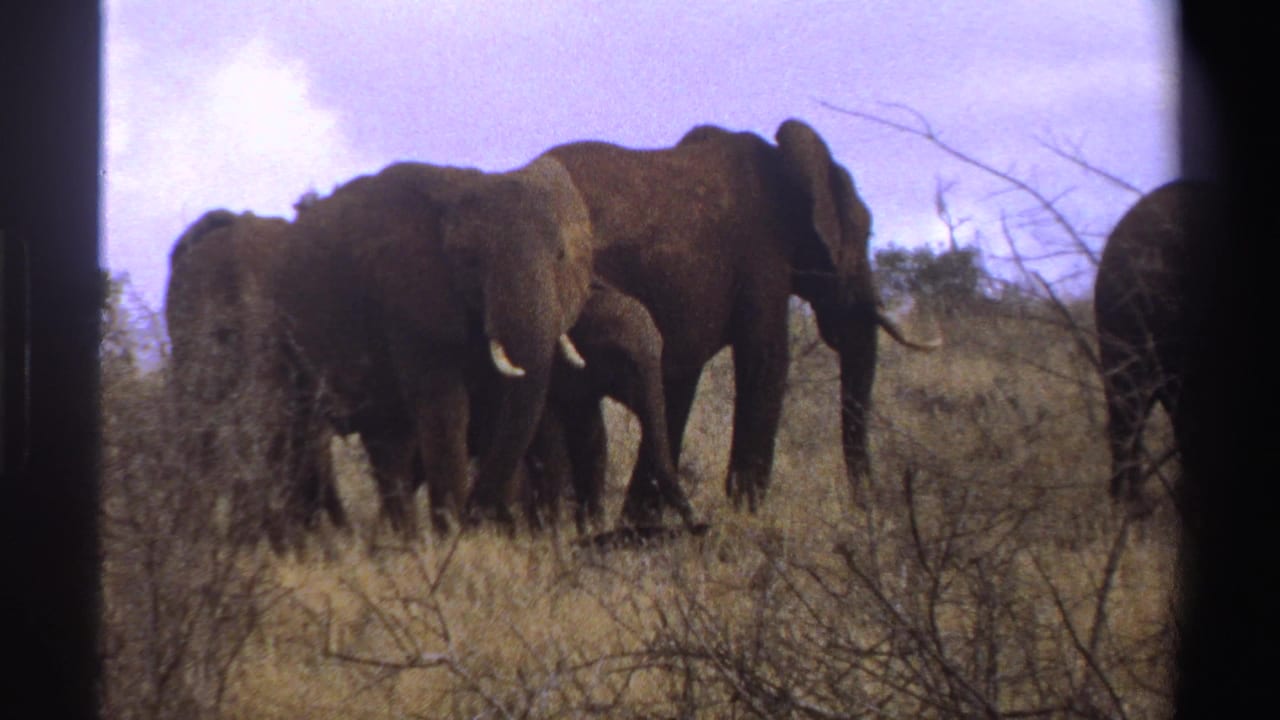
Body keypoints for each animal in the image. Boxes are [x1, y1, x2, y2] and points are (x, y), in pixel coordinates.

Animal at [278, 157, 595, 535]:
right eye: (469, 260)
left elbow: (497, 406)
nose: (476, 516)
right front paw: (453, 536)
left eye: (560, 256)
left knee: (386, 443)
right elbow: (444, 407)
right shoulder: (408, 301)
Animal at [543, 118, 939, 521]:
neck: (787, 164)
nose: (868, 509)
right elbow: (767, 359)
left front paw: (641, 527)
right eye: (866, 233)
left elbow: (677, 380)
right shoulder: (762, 260)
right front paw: (746, 517)